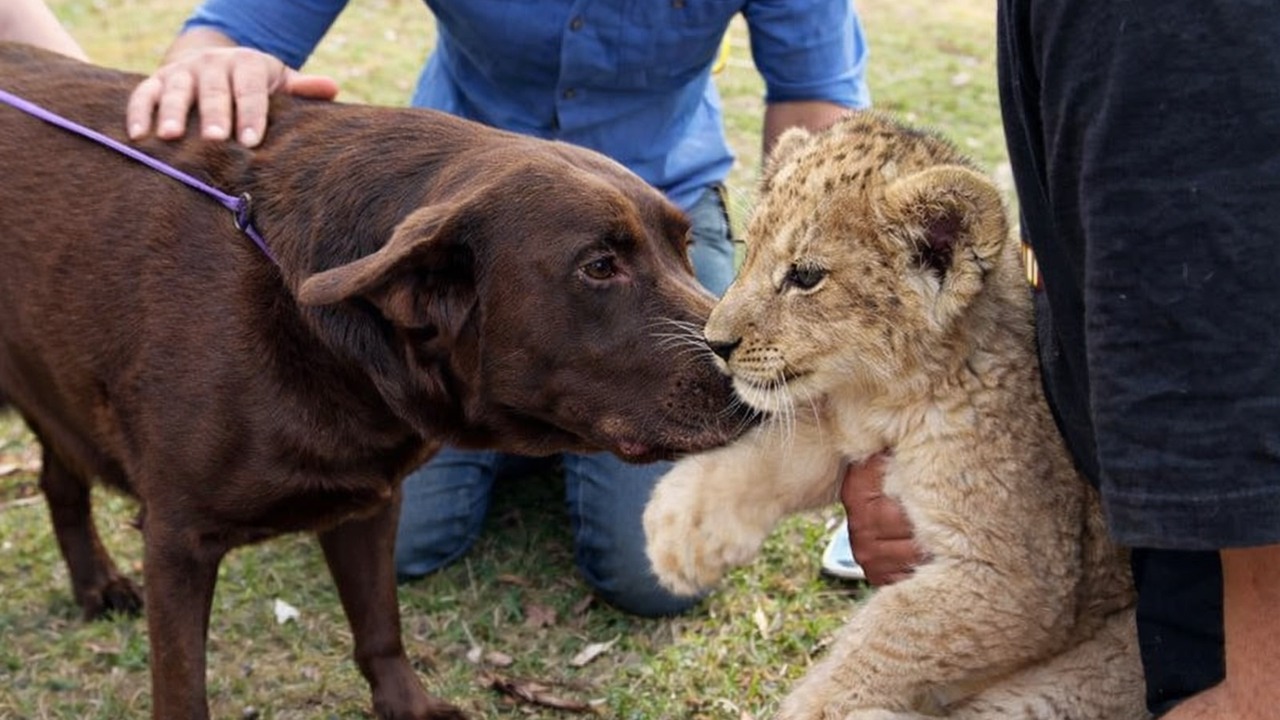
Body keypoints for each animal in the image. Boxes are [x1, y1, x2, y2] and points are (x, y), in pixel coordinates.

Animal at [643, 112, 1148, 720]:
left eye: (805, 276)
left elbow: (888, 635)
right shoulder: (847, 429)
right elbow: (777, 454)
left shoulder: (1024, 578)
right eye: (748, 251)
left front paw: (815, 706)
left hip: (1079, 678)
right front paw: (678, 533)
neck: (892, 399)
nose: (715, 343)